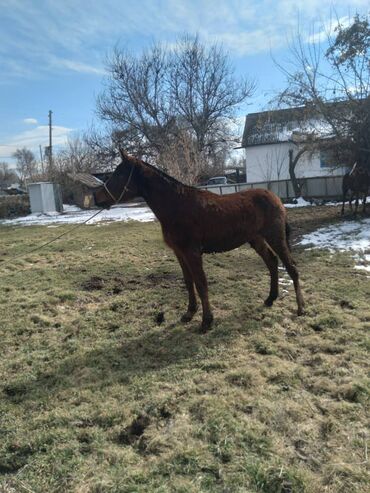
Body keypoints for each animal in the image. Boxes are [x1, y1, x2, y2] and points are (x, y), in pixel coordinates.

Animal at [92, 151, 304, 330]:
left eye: (119, 174)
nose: (96, 197)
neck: (177, 206)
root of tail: (276, 198)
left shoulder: (192, 252)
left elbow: (201, 283)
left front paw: (206, 321)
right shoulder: (179, 252)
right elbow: (188, 281)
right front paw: (189, 313)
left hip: (275, 237)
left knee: (291, 267)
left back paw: (301, 308)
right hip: (257, 239)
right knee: (272, 262)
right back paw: (270, 299)